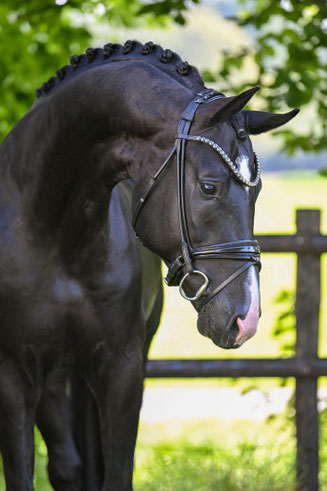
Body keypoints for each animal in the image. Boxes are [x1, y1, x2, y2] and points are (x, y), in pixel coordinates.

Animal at [0, 40, 300, 490]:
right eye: (209, 187)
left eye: (258, 190)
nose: (246, 319)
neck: (53, 237)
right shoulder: (13, 376)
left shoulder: (123, 371)